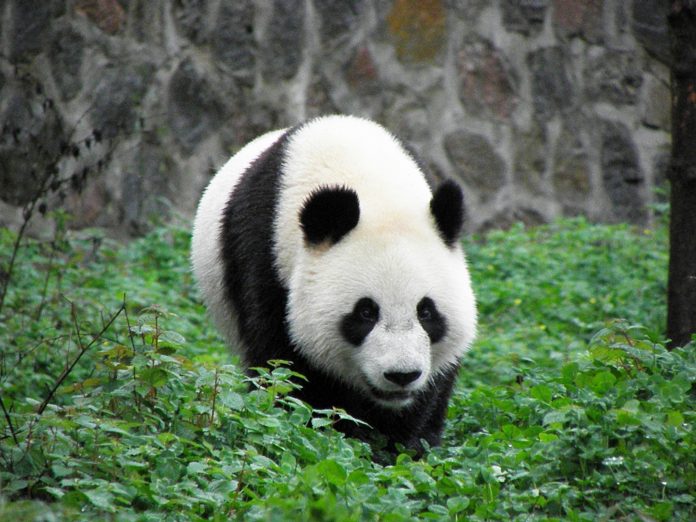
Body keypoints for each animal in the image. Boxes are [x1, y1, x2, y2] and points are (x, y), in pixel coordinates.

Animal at [192, 115, 478, 450]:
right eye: (366, 312)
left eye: (426, 312)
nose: (402, 375)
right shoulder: (266, 261)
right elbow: (288, 368)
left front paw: (396, 444)